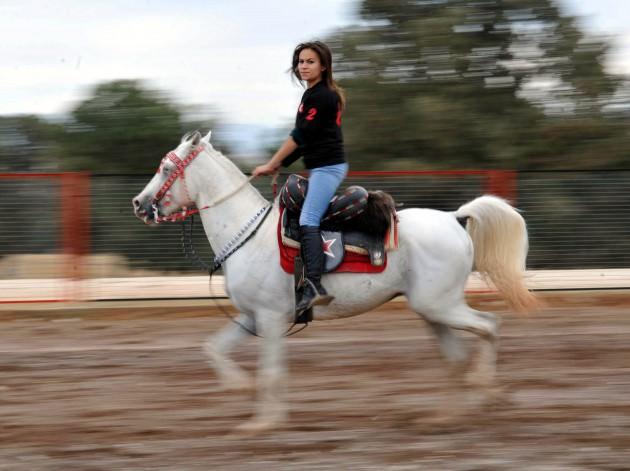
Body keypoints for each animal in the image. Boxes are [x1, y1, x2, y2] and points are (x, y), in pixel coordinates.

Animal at [132, 131, 540, 434]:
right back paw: (446, 417)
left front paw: (264, 422)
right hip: (432, 310)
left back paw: (486, 393)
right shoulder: (251, 317)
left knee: (489, 326)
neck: (248, 233)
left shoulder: (271, 318)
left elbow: (271, 372)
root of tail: (454, 217)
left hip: (442, 305)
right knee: (456, 355)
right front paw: (241, 389)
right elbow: (214, 349)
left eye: (165, 167)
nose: (139, 203)